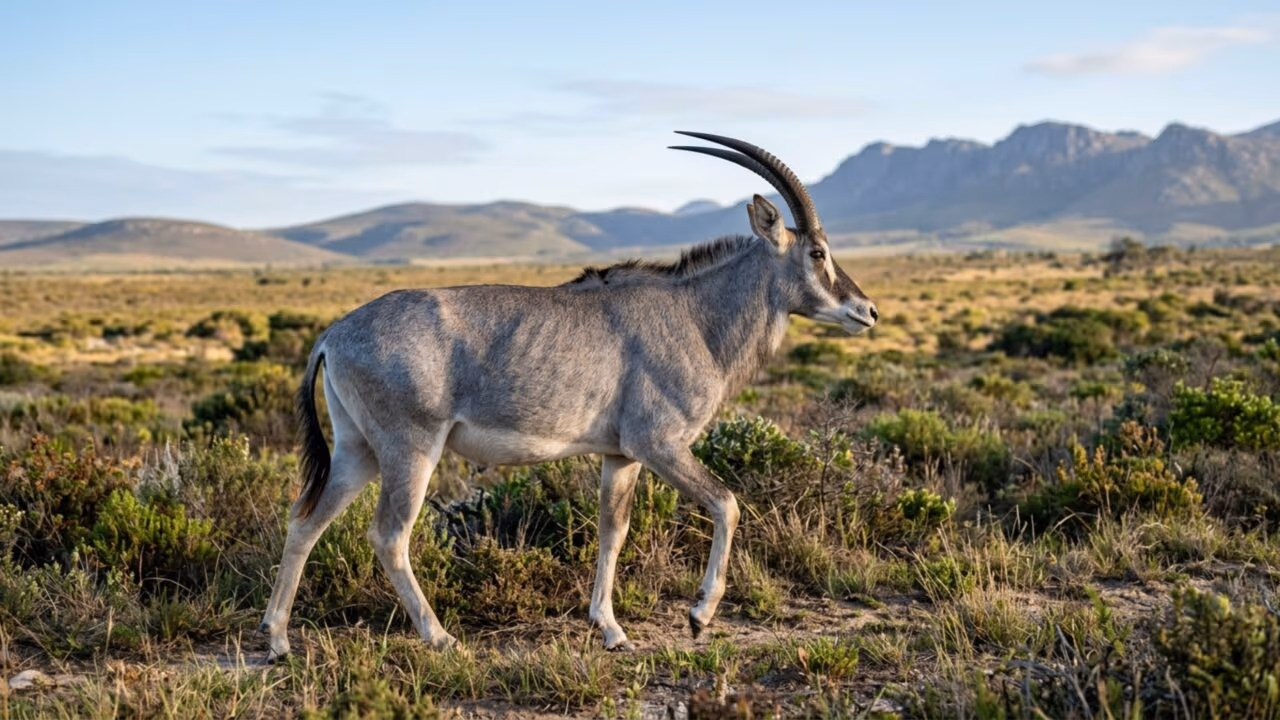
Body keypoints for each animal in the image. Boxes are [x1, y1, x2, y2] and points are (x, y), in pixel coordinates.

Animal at [259, 132, 879, 657]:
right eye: (817, 253)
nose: (867, 310)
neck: (695, 314)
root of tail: (333, 334)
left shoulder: (620, 455)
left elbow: (613, 530)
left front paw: (611, 629)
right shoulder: (660, 444)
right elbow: (727, 503)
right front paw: (700, 615)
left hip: (358, 450)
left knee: (306, 519)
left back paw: (278, 639)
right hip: (411, 450)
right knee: (389, 535)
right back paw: (439, 637)